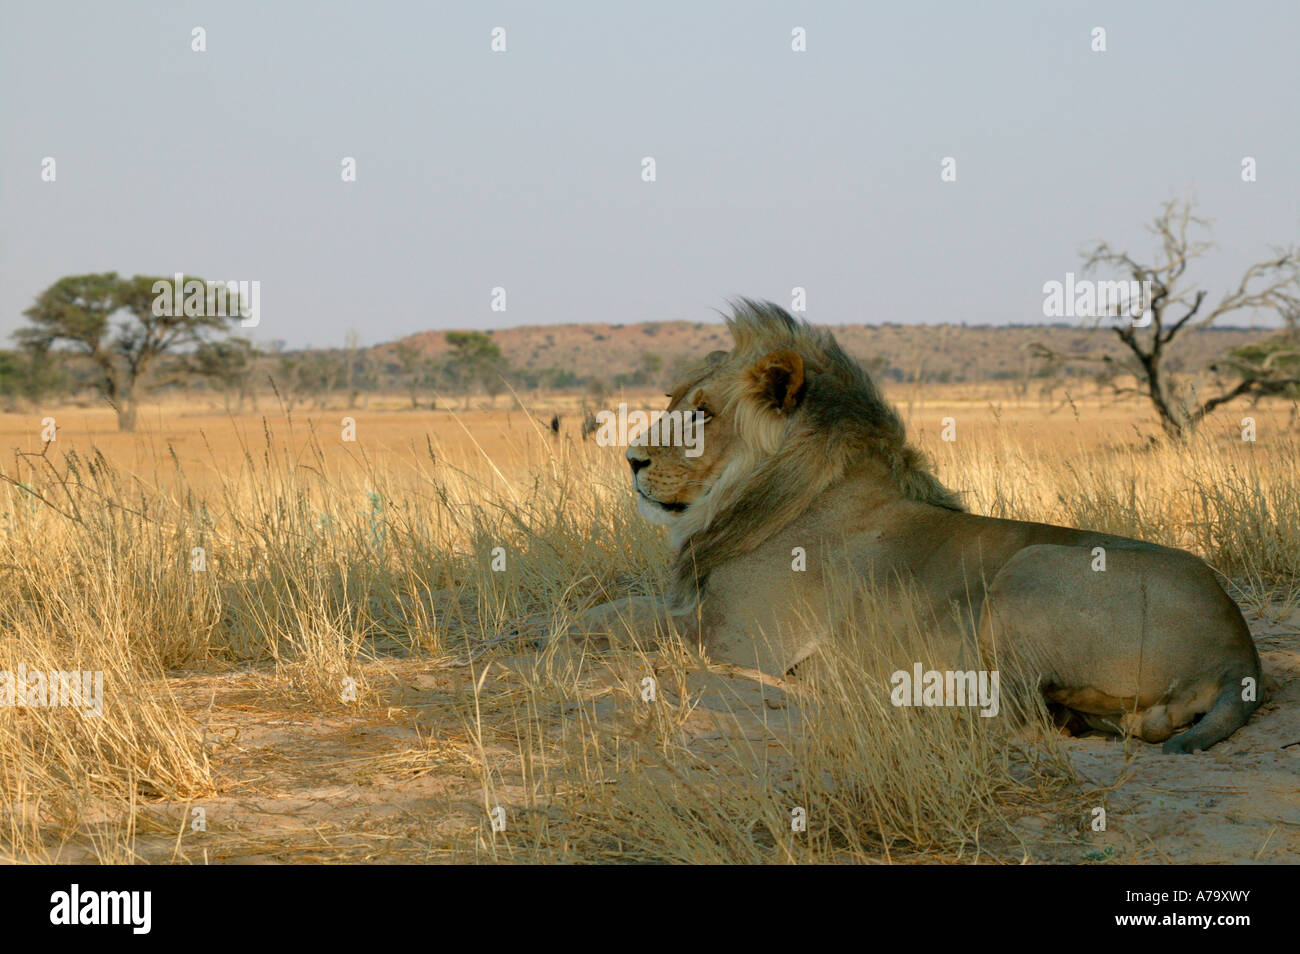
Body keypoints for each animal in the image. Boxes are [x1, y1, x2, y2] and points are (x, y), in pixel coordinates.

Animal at [574, 298, 1263, 753]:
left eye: (703, 414)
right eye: (671, 402)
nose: (631, 459)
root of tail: (1241, 654)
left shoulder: (743, 643)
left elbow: (629, 622)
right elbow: (622, 609)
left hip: (1029, 568)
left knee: (1013, 709)